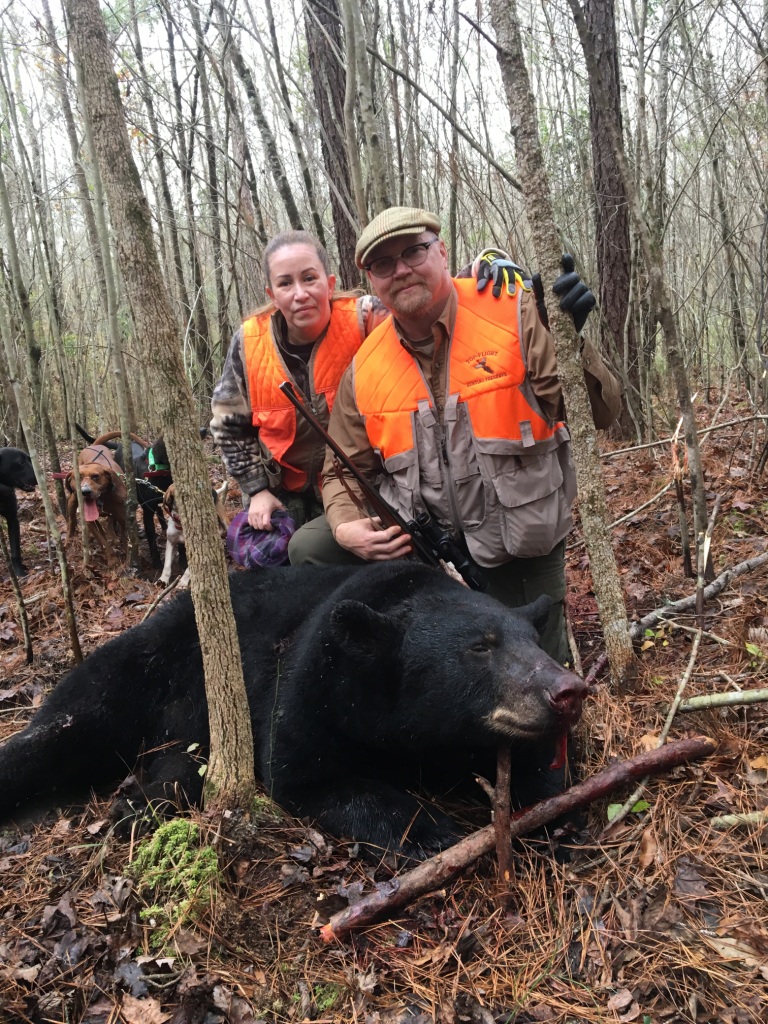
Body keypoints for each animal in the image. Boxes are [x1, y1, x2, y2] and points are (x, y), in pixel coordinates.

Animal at [0, 561, 585, 856]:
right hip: (153, 661)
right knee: (77, 717)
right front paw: (431, 830)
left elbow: (544, 768)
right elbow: (307, 776)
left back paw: (140, 804)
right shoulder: (312, 686)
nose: (568, 690)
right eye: (481, 647)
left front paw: (553, 816)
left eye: (533, 639)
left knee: (179, 761)